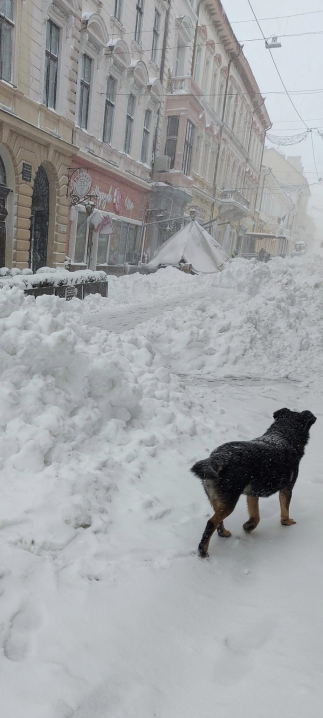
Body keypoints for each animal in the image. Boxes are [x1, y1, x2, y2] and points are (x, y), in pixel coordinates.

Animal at [191, 408, 318, 560]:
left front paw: (249, 526)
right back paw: (203, 551)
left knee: (218, 521)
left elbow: (255, 515)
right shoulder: (287, 488)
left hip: (218, 499)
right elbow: (285, 510)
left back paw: (224, 533)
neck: (283, 434)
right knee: (211, 523)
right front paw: (286, 522)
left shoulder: (253, 493)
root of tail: (216, 458)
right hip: (229, 501)